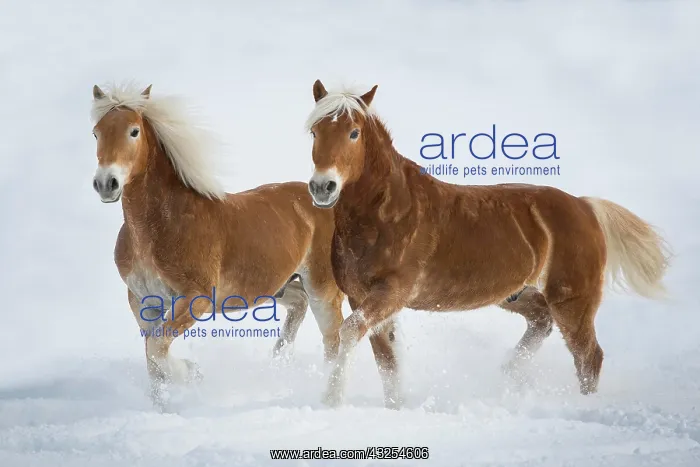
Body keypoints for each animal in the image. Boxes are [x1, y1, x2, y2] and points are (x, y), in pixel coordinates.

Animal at [89, 83, 344, 408]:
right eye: (96, 133)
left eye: (133, 131)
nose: (106, 184)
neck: (159, 227)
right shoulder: (142, 301)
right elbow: (152, 355)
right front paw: (162, 406)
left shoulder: (196, 299)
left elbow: (158, 348)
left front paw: (191, 374)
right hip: (277, 286)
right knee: (298, 305)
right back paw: (277, 366)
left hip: (322, 288)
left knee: (334, 340)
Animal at [304, 80, 671, 409]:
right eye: (315, 132)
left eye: (354, 133)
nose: (323, 187)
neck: (387, 213)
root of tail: (585, 207)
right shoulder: (362, 296)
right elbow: (388, 361)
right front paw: (394, 407)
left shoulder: (391, 292)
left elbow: (350, 334)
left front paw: (330, 400)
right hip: (518, 294)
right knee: (542, 322)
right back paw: (507, 374)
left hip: (573, 299)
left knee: (588, 357)